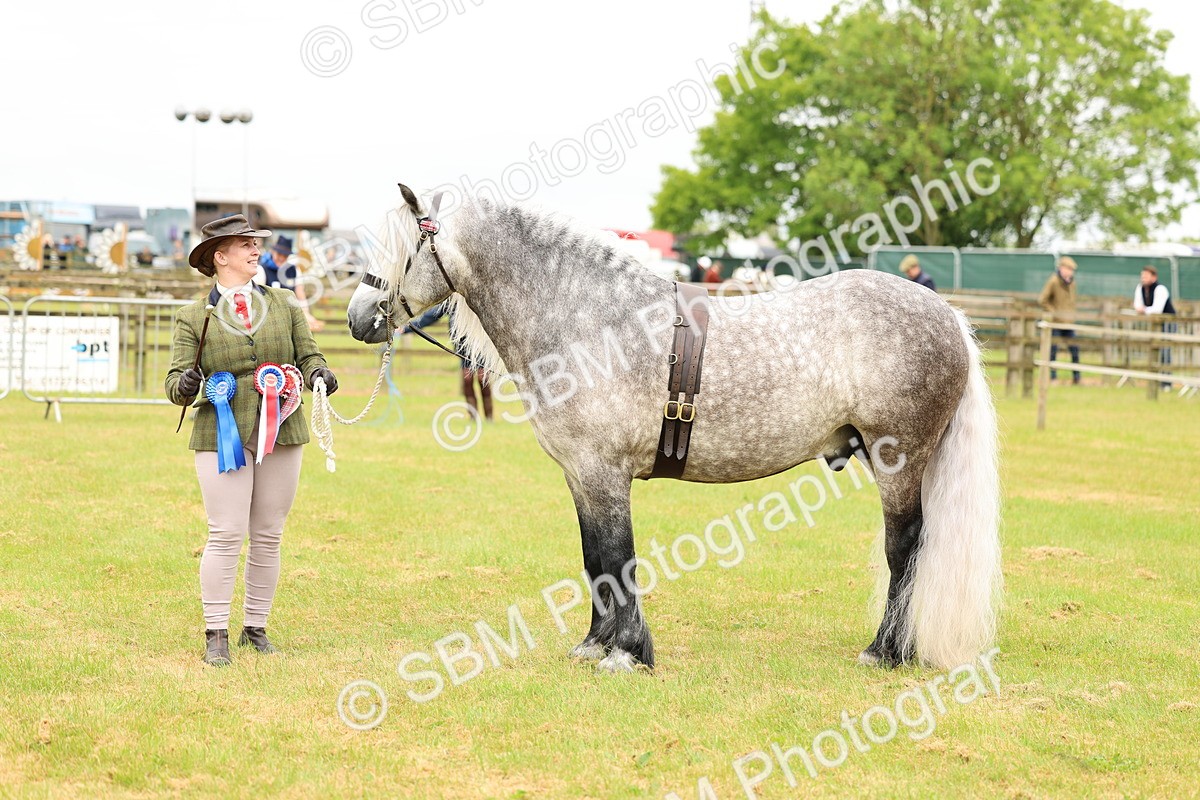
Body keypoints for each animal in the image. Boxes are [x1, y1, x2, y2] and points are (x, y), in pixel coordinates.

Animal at [346, 185, 1002, 674]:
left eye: (403, 250)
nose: (358, 318)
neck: (589, 317)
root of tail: (946, 314)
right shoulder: (582, 477)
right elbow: (596, 558)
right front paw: (595, 645)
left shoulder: (604, 473)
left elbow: (618, 557)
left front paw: (627, 654)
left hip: (898, 459)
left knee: (905, 549)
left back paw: (885, 652)